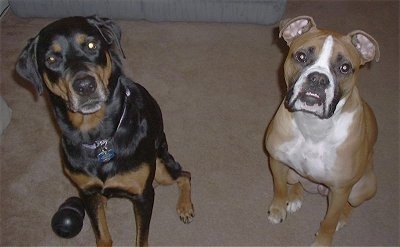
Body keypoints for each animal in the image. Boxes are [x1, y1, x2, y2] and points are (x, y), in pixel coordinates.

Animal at [16, 16, 195, 246]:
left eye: (92, 45)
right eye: (52, 59)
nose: (85, 86)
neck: (99, 136)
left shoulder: (143, 194)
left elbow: (141, 238)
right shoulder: (87, 191)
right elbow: (102, 234)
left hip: (161, 168)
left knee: (184, 175)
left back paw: (185, 207)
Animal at [264, 15, 380, 245]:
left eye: (345, 68)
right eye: (301, 56)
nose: (318, 78)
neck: (313, 126)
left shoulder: (341, 189)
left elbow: (329, 221)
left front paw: (323, 241)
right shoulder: (277, 162)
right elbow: (279, 189)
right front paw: (279, 209)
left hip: (361, 188)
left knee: (350, 206)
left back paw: (342, 218)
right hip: (292, 174)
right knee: (296, 182)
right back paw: (294, 197)